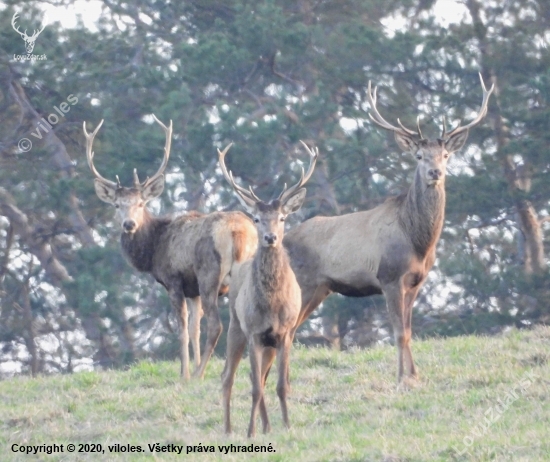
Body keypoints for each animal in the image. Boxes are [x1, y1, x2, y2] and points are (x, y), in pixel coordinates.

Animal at [218, 141, 316, 436]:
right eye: (256, 218)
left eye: (282, 217)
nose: (270, 237)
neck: (273, 305)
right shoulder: (254, 332)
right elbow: (254, 388)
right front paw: (250, 431)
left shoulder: (286, 332)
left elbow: (281, 385)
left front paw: (287, 425)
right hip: (236, 326)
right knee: (229, 377)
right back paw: (229, 428)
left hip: (268, 343)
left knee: (260, 376)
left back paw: (267, 426)